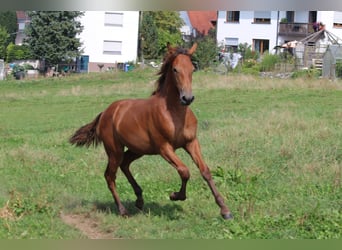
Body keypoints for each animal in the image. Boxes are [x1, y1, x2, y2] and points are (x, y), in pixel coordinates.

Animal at [69, 44, 232, 220]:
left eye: (192, 69)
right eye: (175, 69)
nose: (187, 98)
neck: (175, 114)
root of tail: (105, 113)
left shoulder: (191, 143)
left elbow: (205, 171)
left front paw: (225, 210)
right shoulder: (164, 148)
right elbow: (184, 171)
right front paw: (175, 195)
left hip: (137, 149)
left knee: (124, 164)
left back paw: (139, 199)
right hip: (114, 150)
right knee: (109, 175)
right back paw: (123, 210)